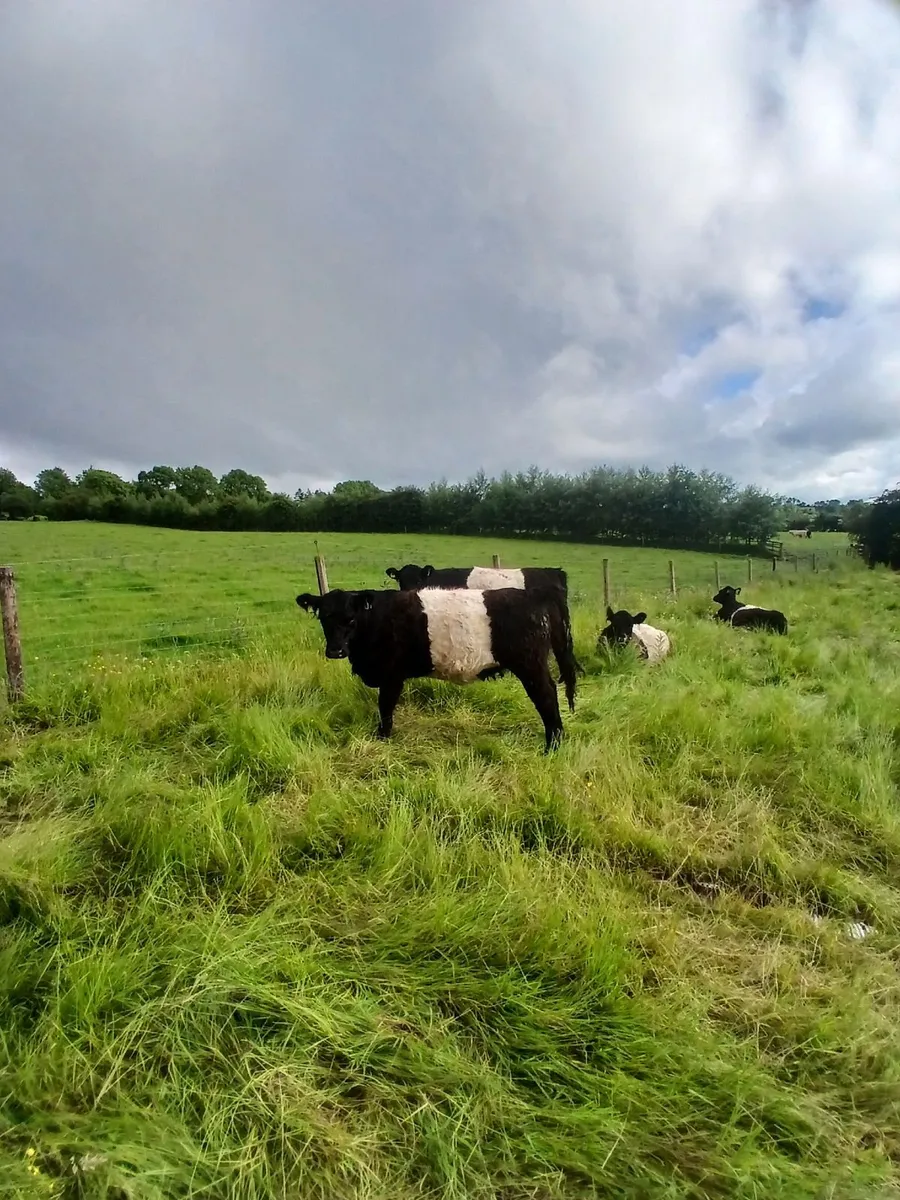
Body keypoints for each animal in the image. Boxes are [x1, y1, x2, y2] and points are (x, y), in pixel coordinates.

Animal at [295, 585, 578, 750]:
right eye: (323, 618)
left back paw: (553, 745)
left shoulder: (391, 674)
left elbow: (385, 706)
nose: (335, 651)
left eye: (351, 619)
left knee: (547, 696)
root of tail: (538, 596)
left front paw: (382, 737)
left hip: (531, 665)